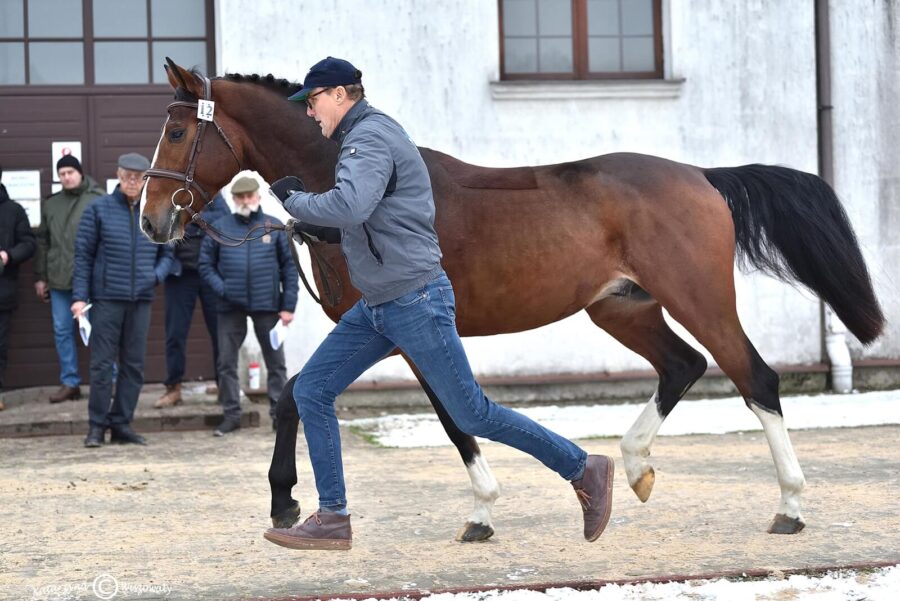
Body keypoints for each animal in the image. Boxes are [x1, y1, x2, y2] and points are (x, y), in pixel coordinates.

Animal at [142, 59, 884, 540]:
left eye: (176, 132)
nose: (153, 219)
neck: (340, 180)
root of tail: (701, 177)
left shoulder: (409, 332)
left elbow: (453, 417)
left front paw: (481, 512)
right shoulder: (375, 328)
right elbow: (297, 394)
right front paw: (284, 505)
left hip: (698, 298)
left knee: (754, 377)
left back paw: (789, 507)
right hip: (622, 306)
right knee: (683, 366)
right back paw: (634, 468)